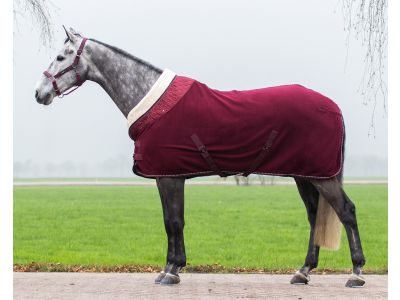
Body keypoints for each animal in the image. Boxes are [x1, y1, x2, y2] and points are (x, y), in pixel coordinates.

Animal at [34, 28, 366, 288]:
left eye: (61, 57)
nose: (39, 93)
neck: (152, 101)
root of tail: (332, 106)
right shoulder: (169, 176)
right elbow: (172, 221)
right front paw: (171, 268)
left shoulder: (169, 176)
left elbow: (173, 222)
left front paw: (171, 271)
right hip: (305, 175)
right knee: (314, 216)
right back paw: (303, 271)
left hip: (320, 177)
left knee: (346, 211)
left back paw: (356, 273)